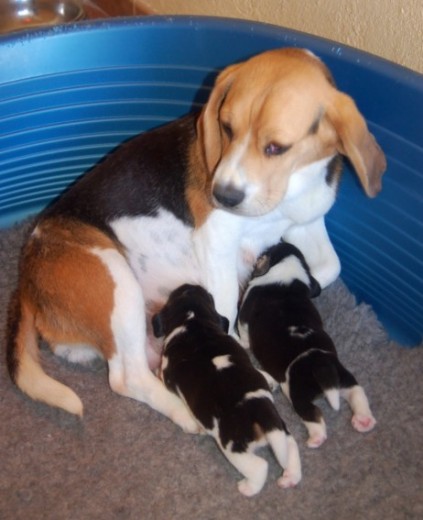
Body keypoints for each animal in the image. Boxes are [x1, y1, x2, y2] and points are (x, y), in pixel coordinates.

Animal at [152, 284, 302, 496]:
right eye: (208, 296)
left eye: (174, 295)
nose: (189, 285)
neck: (193, 320)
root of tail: (261, 413)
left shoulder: (167, 373)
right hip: (281, 429)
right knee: (291, 448)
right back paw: (290, 477)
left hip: (232, 446)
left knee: (259, 466)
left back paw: (247, 488)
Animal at [238, 242, 378, 448]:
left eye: (273, 247)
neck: (289, 269)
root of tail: (320, 364)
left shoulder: (244, 314)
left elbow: (243, 333)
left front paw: (244, 343)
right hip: (345, 377)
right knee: (357, 393)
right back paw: (364, 421)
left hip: (298, 394)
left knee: (314, 415)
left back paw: (315, 439)